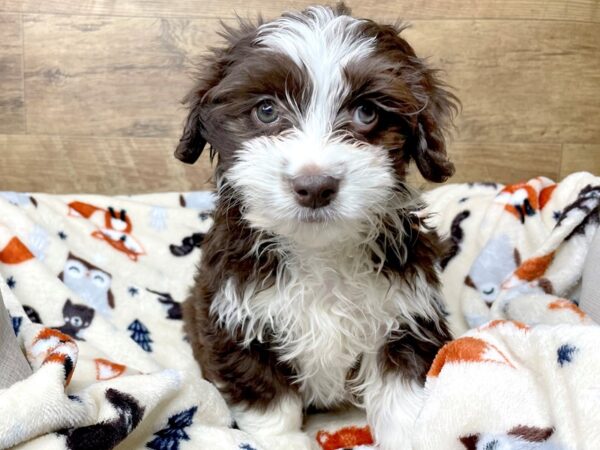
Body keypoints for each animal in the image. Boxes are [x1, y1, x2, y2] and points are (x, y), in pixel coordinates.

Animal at [177, 4, 454, 450]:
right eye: (266, 110)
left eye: (366, 112)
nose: (315, 186)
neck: (319, 249)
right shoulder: (234, 319)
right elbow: (267, 399)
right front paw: (285, 440)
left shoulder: (405, 315)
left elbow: (399, 396)